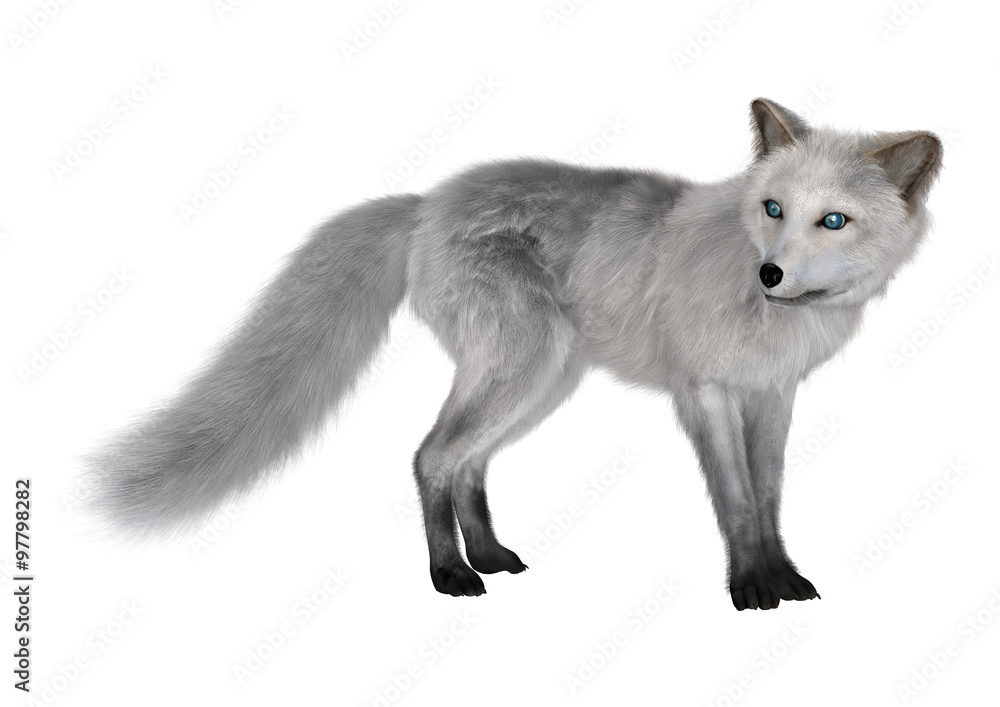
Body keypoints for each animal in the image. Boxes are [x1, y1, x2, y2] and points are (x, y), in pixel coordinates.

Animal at [83, 98, 943, 610]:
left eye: (833, 220)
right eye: (772, 208)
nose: (771, 274)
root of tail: (427, 202)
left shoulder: (773, 396)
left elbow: (767, 498)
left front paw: (783, 577)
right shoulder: (705, 393)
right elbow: (733, 501)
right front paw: (750, 587)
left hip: (542, 383)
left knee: (466, 465)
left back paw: (490, 554)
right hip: (525, 369)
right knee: (431, 455)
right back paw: (450, 573)